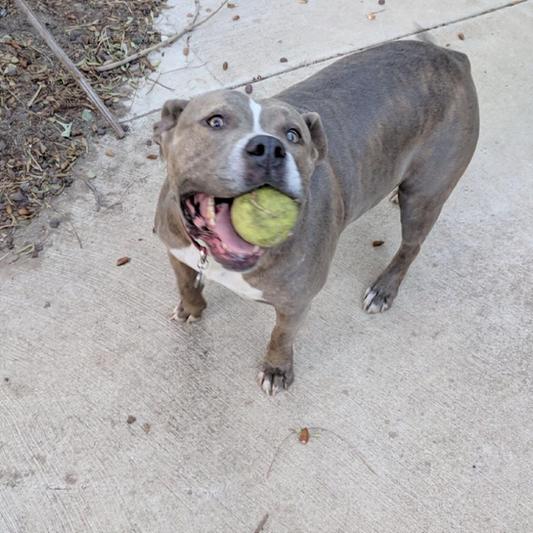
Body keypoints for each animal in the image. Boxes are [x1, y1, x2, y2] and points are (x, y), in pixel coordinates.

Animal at [153, 40, 478, 394]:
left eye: (293, 135)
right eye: (215, 121)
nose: (269, 148)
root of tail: (451, 56)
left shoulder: (296, 302)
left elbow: (280, 336)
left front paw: (277, 370)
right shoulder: (175, 251)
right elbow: (185, 284)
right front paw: (191, 308)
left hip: (424, 196)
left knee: (411, 246)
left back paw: (383, 289)